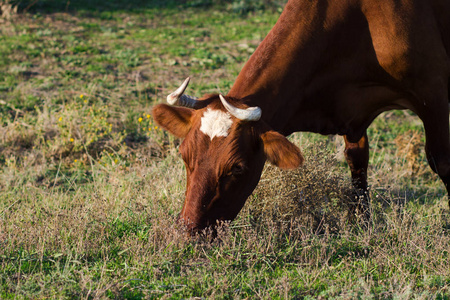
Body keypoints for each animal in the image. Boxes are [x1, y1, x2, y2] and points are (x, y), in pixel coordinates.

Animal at [152, 0, 450, 232]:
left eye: (237, 167)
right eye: (184, 156)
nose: (188, 229)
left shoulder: (433, 91)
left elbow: (441, 161)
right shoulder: (353, 115)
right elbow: (357, 164)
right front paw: (362, 224)